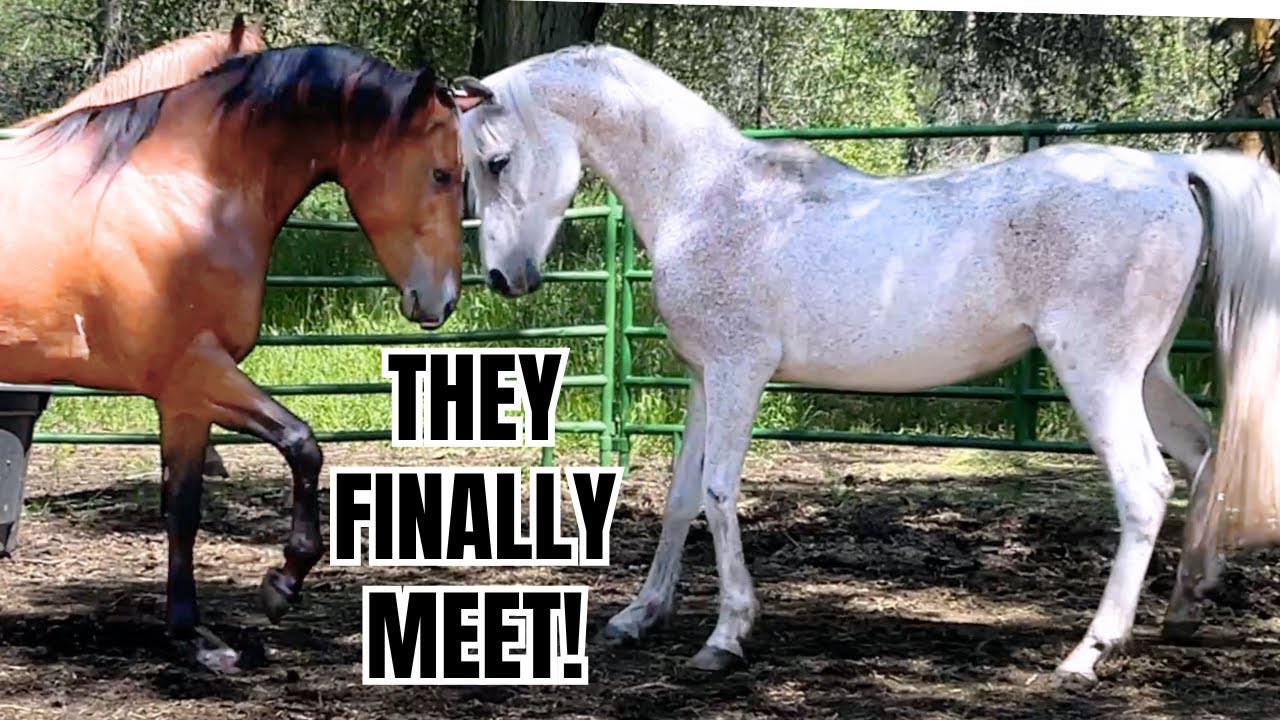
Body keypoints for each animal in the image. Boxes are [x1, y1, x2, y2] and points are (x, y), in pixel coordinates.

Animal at [455, 43, 1280, 685]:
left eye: (496, 161)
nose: (504, 278)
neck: (707, 198)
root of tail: (1172, 169)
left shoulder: (738, 372)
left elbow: (719, 492)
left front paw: (726, 637)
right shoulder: (701, 377)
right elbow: (682, 498)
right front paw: (639, 616)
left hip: (1098, 373)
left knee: (1145, 486)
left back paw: (1088, 654)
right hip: (1147, 373)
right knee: (1204, 454)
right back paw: (1185, 607)